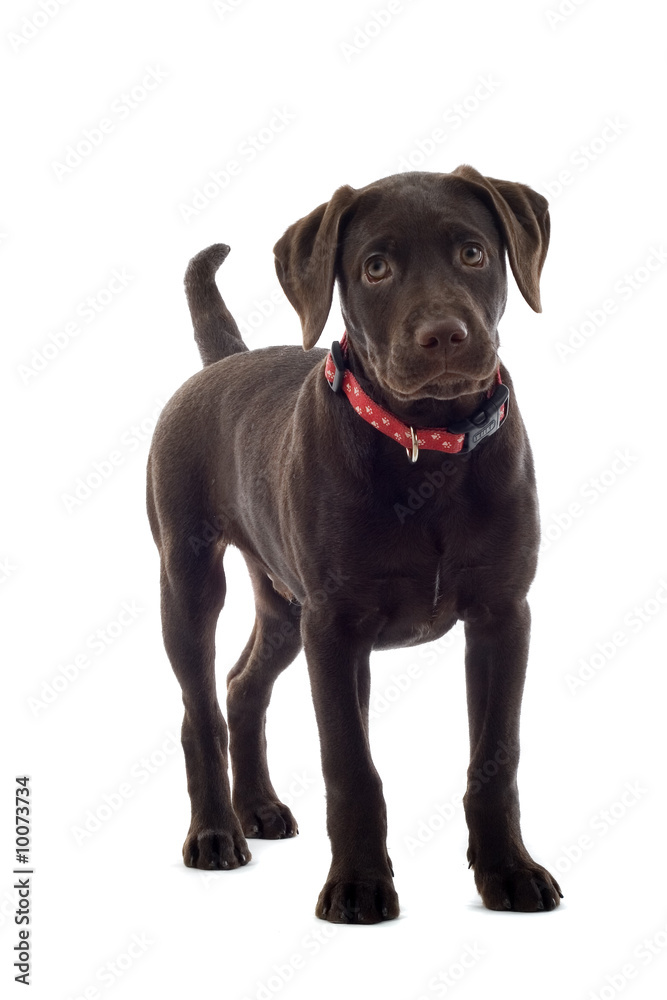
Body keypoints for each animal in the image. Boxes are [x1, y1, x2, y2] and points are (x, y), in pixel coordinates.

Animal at [147, 164, 564, 920]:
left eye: (472, 253)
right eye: (375, 268)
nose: (443, 335)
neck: (427, 448)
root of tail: (223, 363)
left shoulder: (501, 615)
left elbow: (497, 757)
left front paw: (509, 869)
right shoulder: (337, 629)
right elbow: (350, 765)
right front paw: (360, 884)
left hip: (285, 607)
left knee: (243, 685)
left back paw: (258, 808)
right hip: (190, 580)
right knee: (201, 709)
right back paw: (217, 832)